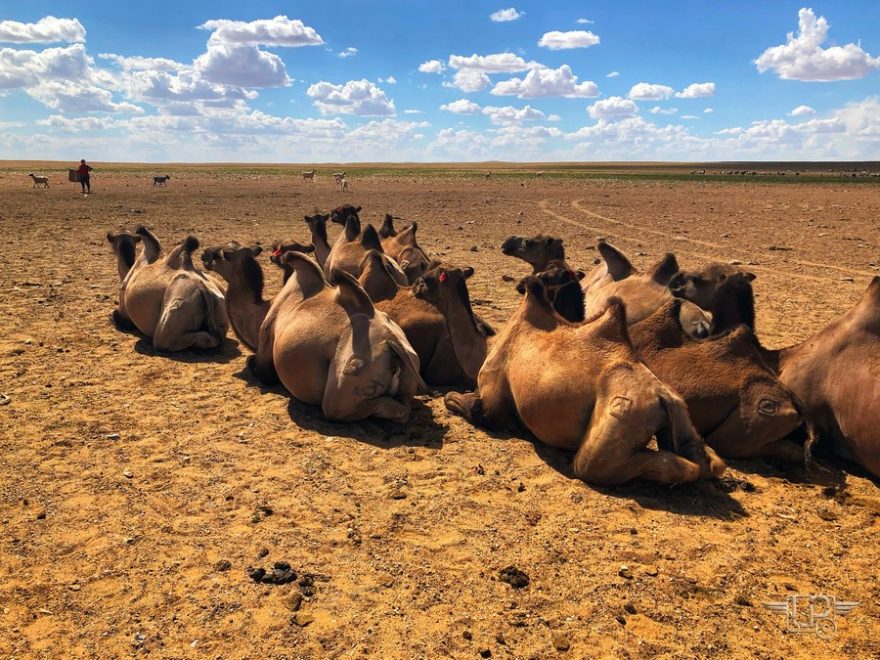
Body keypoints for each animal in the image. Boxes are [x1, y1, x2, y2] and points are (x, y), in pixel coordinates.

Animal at [249, 253, 428, 422]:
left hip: (346, 384)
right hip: (410, 360)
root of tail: (392, 342)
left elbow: (261, 370)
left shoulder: (266, 343)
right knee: (403, 404)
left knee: (338, 409)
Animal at [444, 276, 724, 488]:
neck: (488, 344)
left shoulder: (493, 394)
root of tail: (662, 396)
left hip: (624, 413)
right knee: (706, 457)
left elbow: (472, 407)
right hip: (678, 409)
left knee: (590, 465)